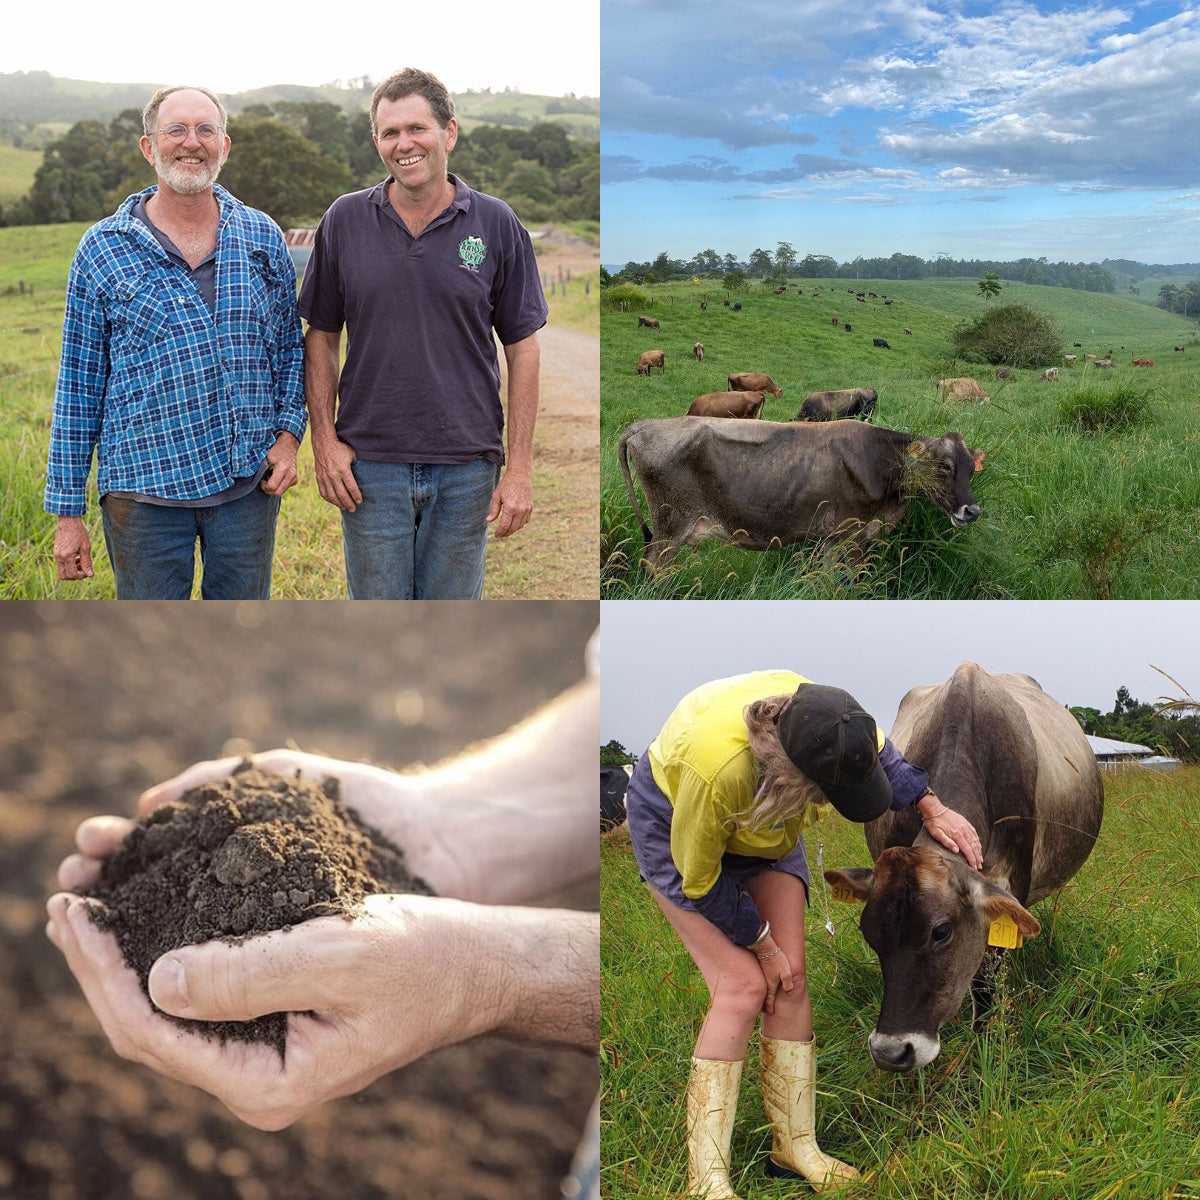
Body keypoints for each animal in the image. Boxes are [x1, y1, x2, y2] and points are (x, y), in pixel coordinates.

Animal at [619, 417, 984, 576]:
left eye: (972, 469)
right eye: (945, 465)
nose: (973, 510)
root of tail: (642, 425)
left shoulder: (833, 536)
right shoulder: (853, 532)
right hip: (671, 525)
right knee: (653, 567)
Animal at [830, 662, 1099, 1075]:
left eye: (941, 932)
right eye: (868, 932)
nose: (891, 1052)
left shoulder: (1009, 883)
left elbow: (987, 978)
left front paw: (984, 1037)